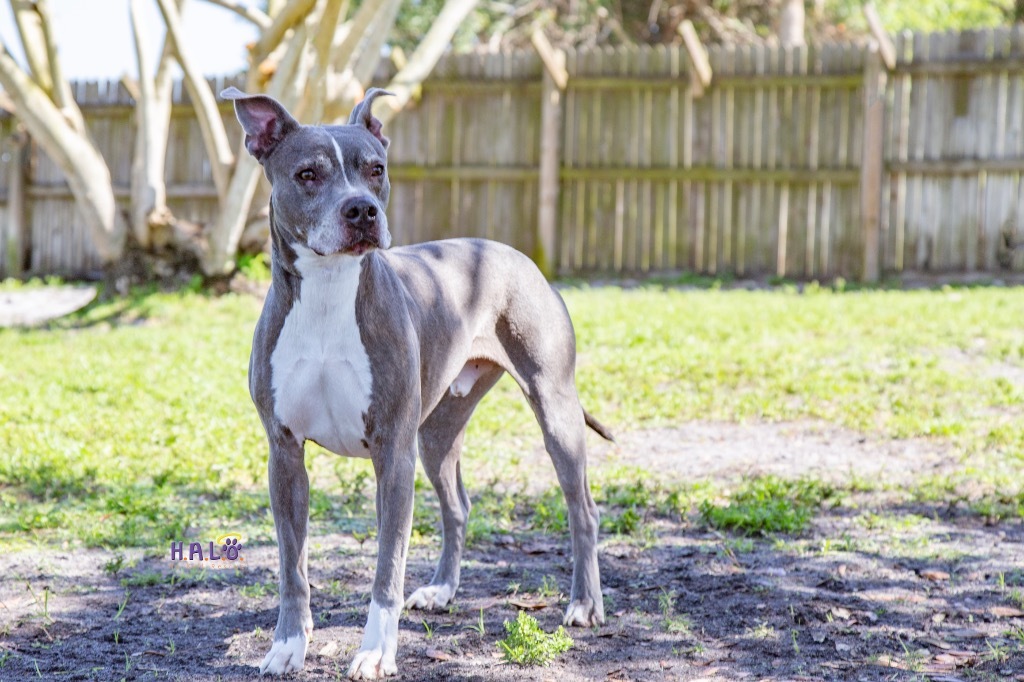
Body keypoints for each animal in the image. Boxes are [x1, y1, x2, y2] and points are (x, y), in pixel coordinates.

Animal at [223, 84, 606, 675]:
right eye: (307, 174)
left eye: (375, 169)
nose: (362, 208)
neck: (329, 292)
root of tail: (512, 251)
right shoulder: (284, 454)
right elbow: (292, 566)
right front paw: (288, 644)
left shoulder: (393, 452)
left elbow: (388, 567)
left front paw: (375, 652)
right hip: (437, 433)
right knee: (458, 506)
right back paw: (442, 590)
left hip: (553, 408)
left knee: (581, 508)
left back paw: (584, 603)